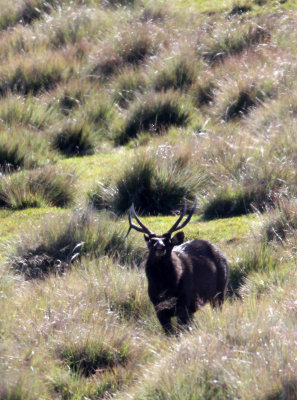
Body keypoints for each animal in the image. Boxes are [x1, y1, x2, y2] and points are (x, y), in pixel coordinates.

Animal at [126, 199, 228, 334]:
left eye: (168, 241)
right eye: (152, 241)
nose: (160, 247)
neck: (165, 288)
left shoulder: (184, 304)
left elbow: (179, 331)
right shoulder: (158, 308)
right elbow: (169, 333)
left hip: (220, 291)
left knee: (217, 311)